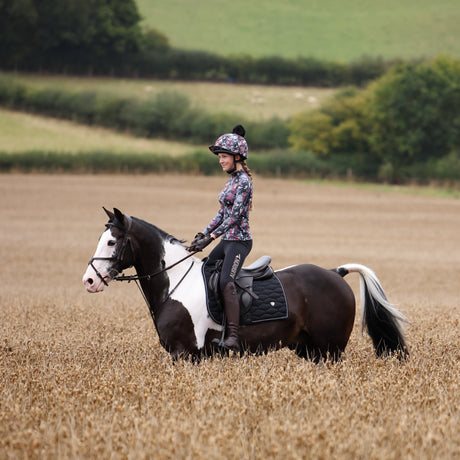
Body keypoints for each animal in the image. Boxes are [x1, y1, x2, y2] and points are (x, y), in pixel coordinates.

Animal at [82, 208, 410, 362]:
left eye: (111, 241)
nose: (89, 280)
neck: (175, 284)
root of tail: (335, 273)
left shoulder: (184, 353)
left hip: (331, 350)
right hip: (310, 349)